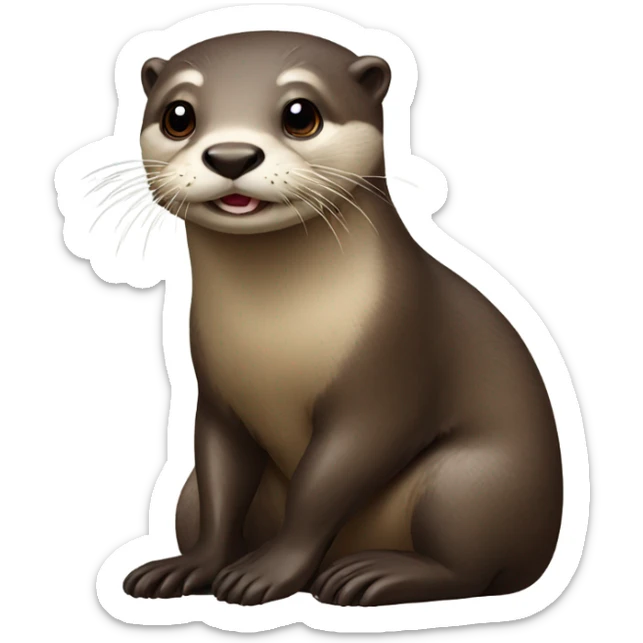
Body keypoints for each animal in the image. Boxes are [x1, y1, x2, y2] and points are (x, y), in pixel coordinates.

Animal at [120, 30, 563, 607]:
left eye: (301, 114)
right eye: (178, 115)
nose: (232, 155)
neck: (278, 332)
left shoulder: (388, 371)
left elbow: (323, 486)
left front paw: (265, 574)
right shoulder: (217, 397)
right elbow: (221, 480)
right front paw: (193, 566)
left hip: (471, 480)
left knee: (471, 570)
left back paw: (373, 573)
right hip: (189, 494)